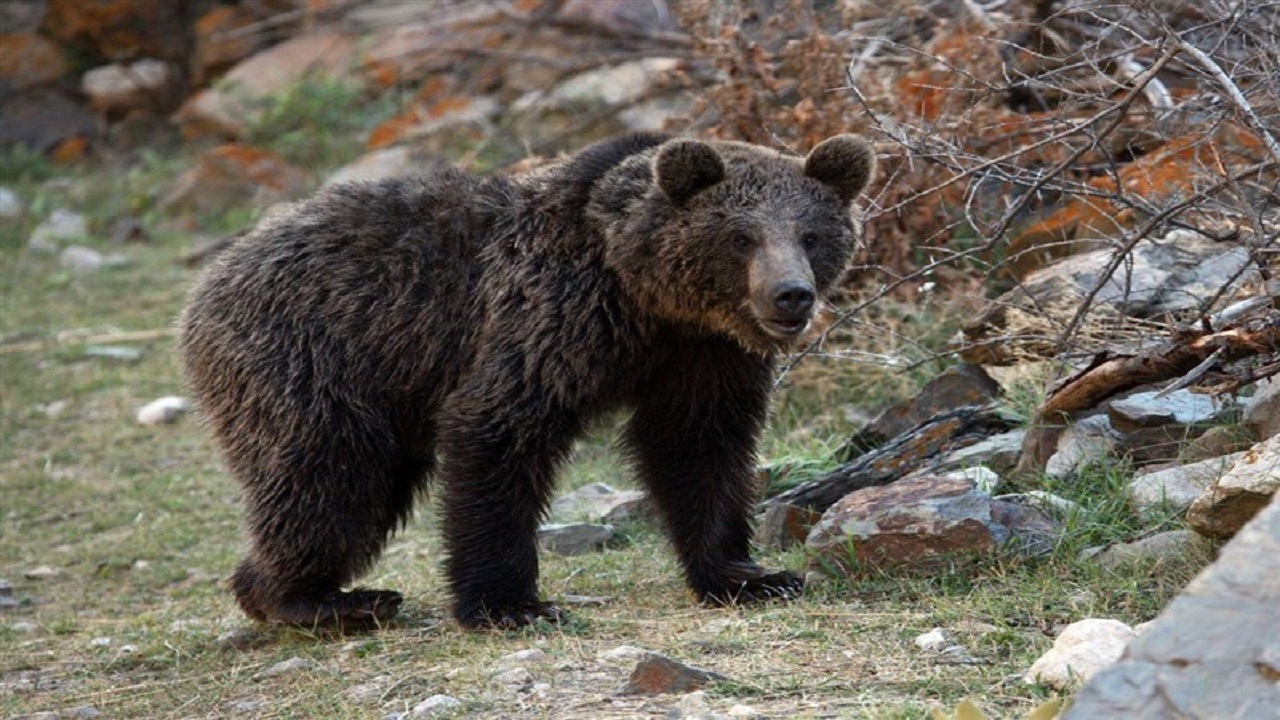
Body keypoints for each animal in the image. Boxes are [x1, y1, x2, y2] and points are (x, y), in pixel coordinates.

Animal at [180, 131, 875, 625]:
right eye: (741, 236)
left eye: (811, 234)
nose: (791, 296)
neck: (644, 297)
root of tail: (213, 276)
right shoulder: (548, 318)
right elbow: (499, 431)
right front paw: (510, 603)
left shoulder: (703, 358)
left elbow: (698, 448)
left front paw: (749, 576)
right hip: (313, 358)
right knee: (329, 478)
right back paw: (313, 599)